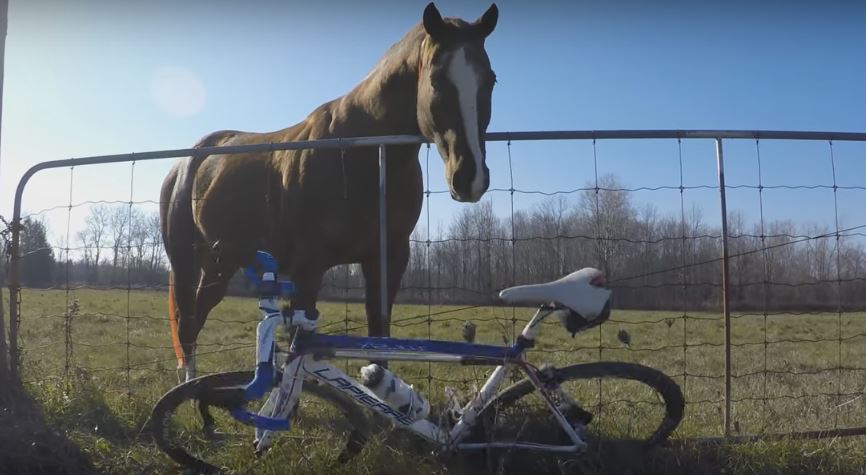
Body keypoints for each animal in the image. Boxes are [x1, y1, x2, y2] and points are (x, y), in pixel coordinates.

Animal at [161, 2, 496, 384]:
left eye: (490, 80)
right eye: (438, 79)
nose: (470, 177)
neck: (363, 156)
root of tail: (186, 162)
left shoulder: (388, 261)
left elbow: (379, 336)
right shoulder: (308, 267)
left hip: (220, 262)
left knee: (196, 317)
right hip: (186, 263)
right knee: (188, 324)